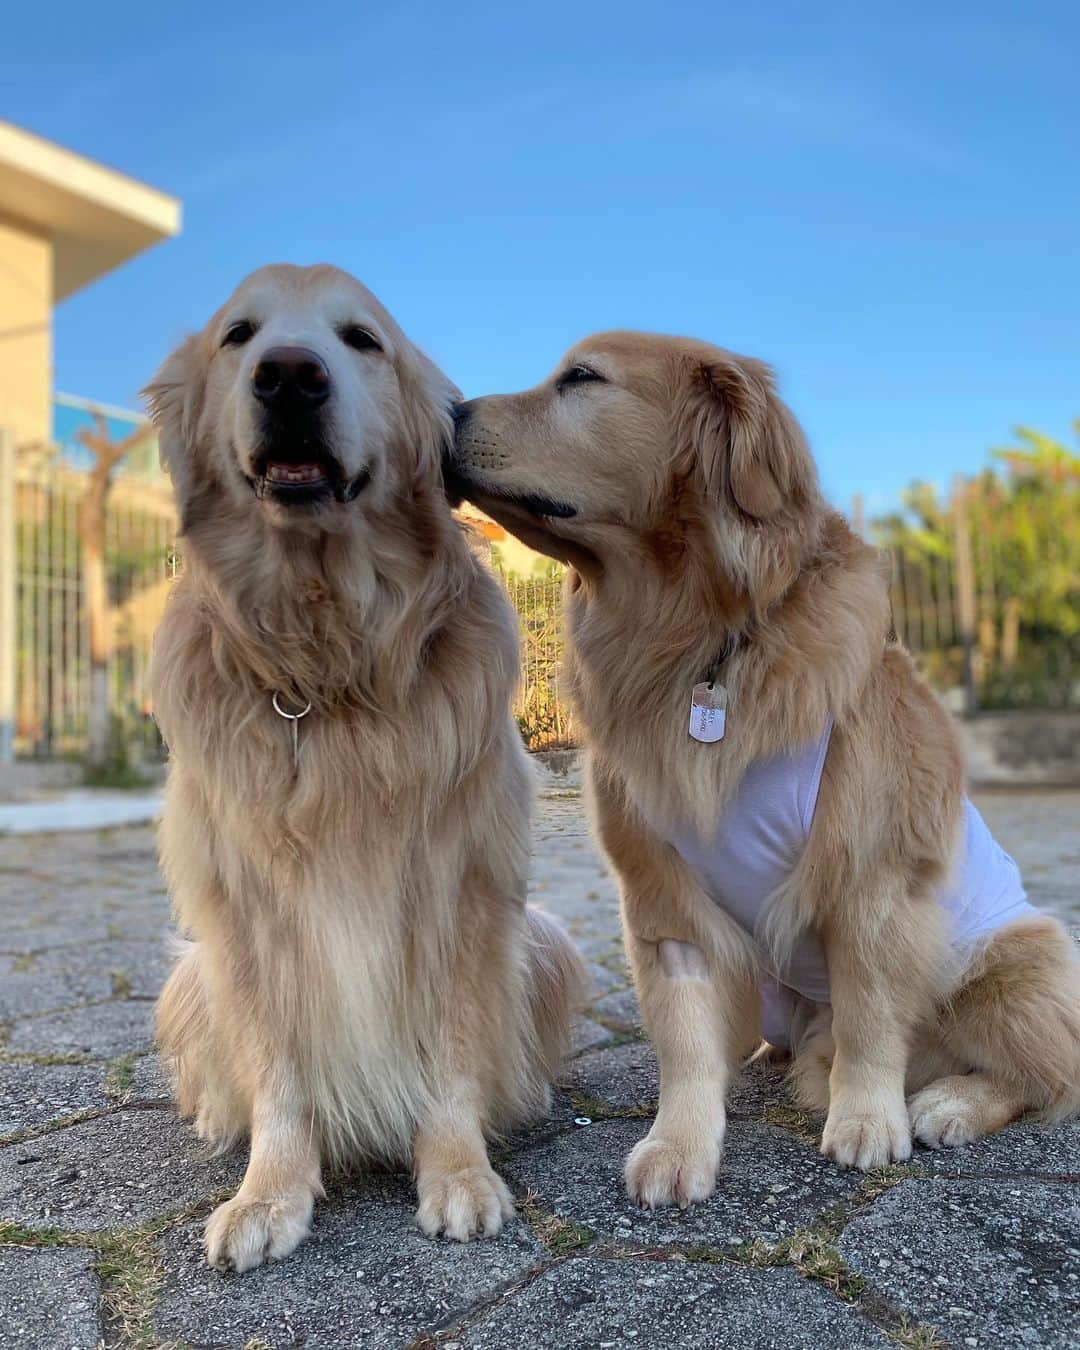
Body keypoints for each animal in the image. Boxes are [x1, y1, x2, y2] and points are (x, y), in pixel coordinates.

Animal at [145, 265, 583, 1274]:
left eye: (361, 339)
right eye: (238, 336)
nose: (289, 376)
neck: (327, 668)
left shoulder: (466, 887)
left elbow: (454, 1049)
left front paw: (458, 1172)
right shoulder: (242, 908)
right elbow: (275, 1069)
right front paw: (270, 1192)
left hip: (545, 937)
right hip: (190, 974)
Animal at [440, 332, 1080, 1209]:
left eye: (582, 378)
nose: (443, 412)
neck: (698, 646)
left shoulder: (872, 882)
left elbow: (872, 1018)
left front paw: (867, 1120)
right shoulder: (664, 900)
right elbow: (684, 1046)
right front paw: (678, 1145)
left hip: (1015, 961)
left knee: (1046, 1075)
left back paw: (948, 1102)